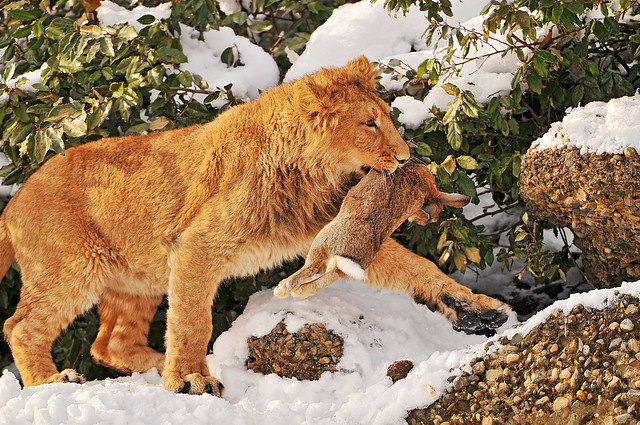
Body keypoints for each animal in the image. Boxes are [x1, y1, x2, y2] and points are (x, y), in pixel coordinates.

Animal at [0, 56, 510, 394]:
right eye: (370, 123)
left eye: (386, 119)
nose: (405, 159)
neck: (309, 172)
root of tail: (15, 199)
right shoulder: (195, 246)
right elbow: (192, 319)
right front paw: (190, 378)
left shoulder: (335, 233)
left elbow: (419, 270)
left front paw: (479, 310)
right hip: (72, 267)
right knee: (21, 326)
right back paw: (54, 380)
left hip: (137, 278)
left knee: (111, 343)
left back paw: (156, 367)